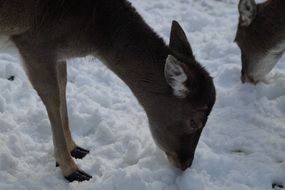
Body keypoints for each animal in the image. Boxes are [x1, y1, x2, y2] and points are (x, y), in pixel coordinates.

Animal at [0, 0, 214, 182]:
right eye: (194, 122)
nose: (186, 164)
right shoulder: (34, 43)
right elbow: (52, 98)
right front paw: (72, 170)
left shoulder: (58, 55)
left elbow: (63, 87)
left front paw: (75, 148)